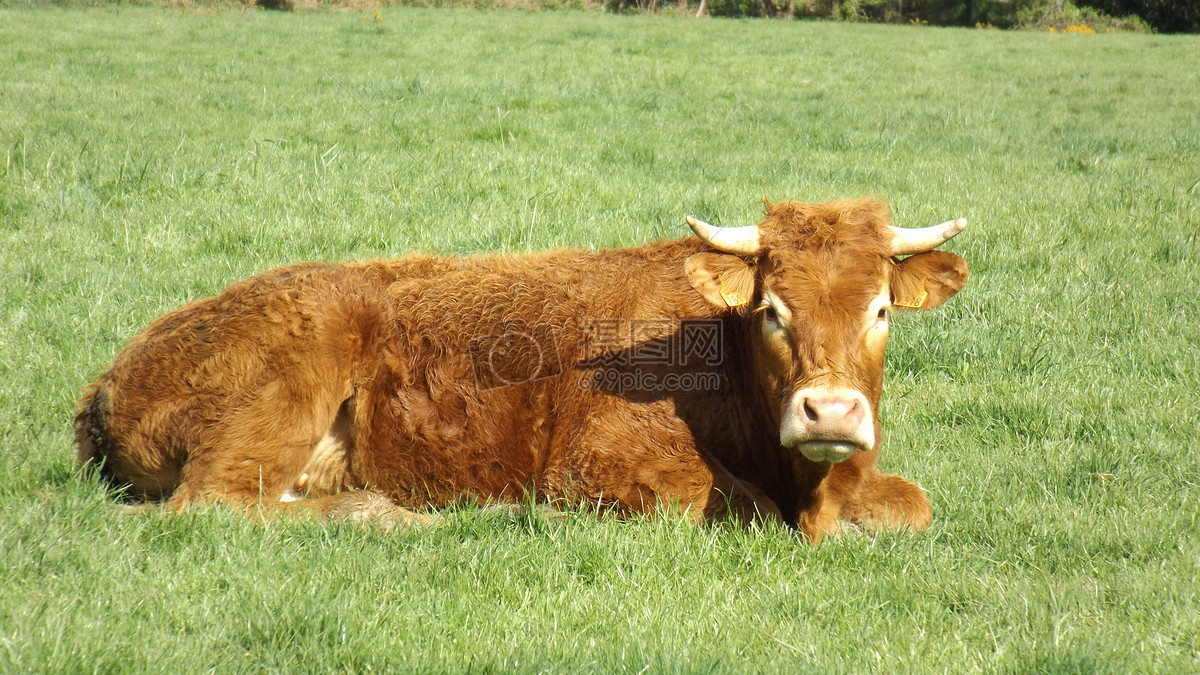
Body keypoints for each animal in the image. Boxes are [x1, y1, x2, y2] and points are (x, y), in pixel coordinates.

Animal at [75, 196, 969, 538]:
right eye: (772, 310)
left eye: (880, 309)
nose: (830, 412)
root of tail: (110, 378)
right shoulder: (605, 459)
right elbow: (735, 507)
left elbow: (914, 503)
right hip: (292, 370)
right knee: (211, 503)